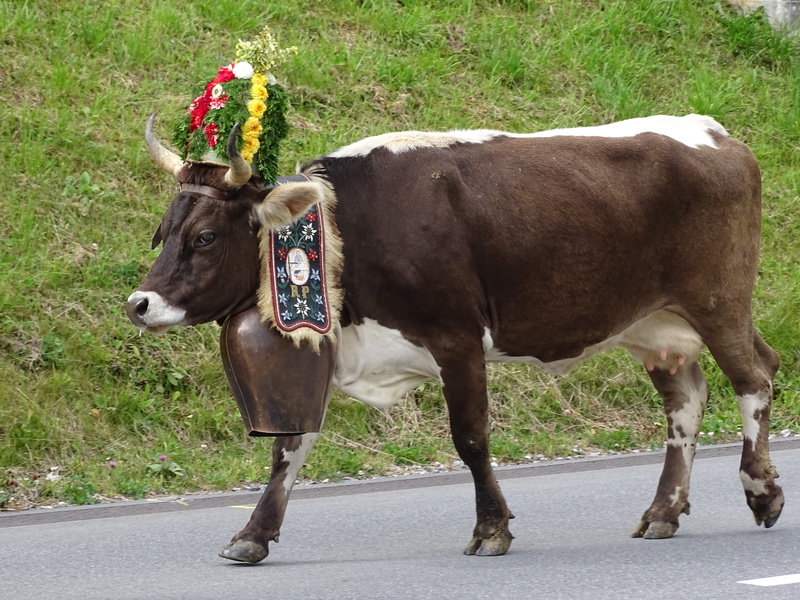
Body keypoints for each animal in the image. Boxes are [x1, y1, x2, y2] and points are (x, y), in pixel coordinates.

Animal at [127, 113, 783, 563]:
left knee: (755, 375)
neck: (348, 229)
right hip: (656, 328)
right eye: (164, 231)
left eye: (206, 236)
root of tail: (714, 132)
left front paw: (491, 529)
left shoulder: (457, 338)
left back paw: (761, 491)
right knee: (686, 402)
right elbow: (289, 446)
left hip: (718, 301)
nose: (139, 304)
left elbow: (470, 437)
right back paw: (663, 512)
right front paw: (252, 535)